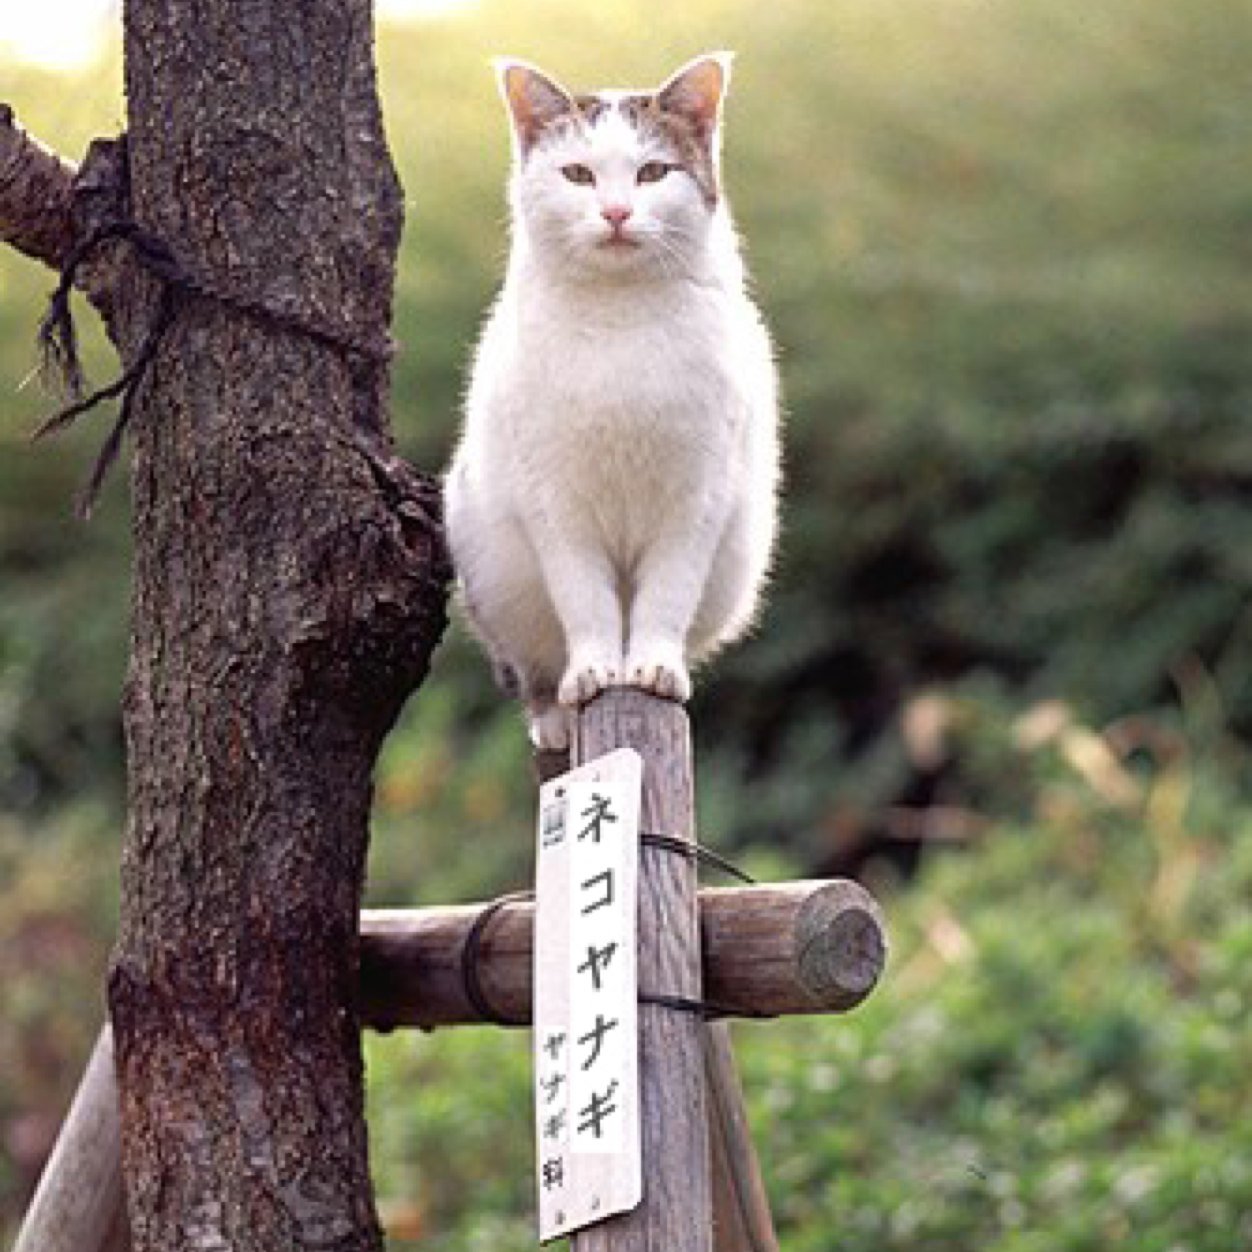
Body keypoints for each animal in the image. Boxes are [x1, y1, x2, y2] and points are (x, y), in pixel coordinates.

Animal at [448, 53, 781, 746]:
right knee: (535, 665)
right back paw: (553, 717)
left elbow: (667, 596)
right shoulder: (554, 502)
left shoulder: (697, 497)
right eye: (578, 174)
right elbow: (584, 600)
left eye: (652, 172)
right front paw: (595, 672)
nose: (617, 212)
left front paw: (653, 668)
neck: (620, 313)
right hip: (492, 568)